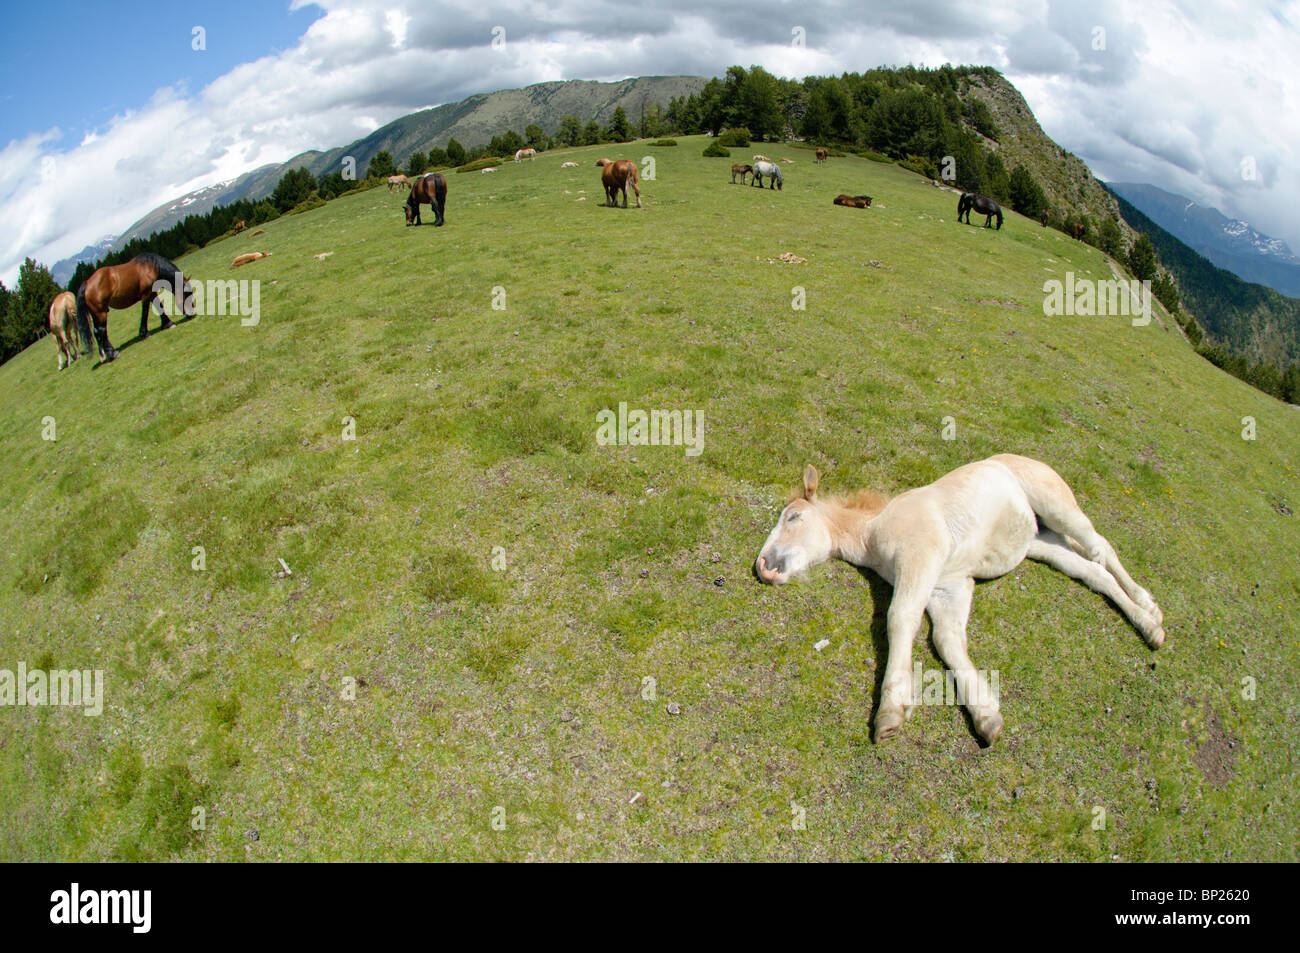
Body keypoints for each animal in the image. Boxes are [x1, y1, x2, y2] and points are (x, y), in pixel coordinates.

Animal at [754, 456, 1164, 746]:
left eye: (793, 517)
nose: (763, 567)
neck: (874, 531)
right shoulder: (948, 586)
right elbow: (947, 641)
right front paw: (986, 716)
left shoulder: (922, 559)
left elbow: (900, 618)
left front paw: (890, 712)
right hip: (1042, 542)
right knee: (1092, 572)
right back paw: (1149, 625)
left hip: (1058, 507)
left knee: (1100, 548)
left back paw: (1150, 608)